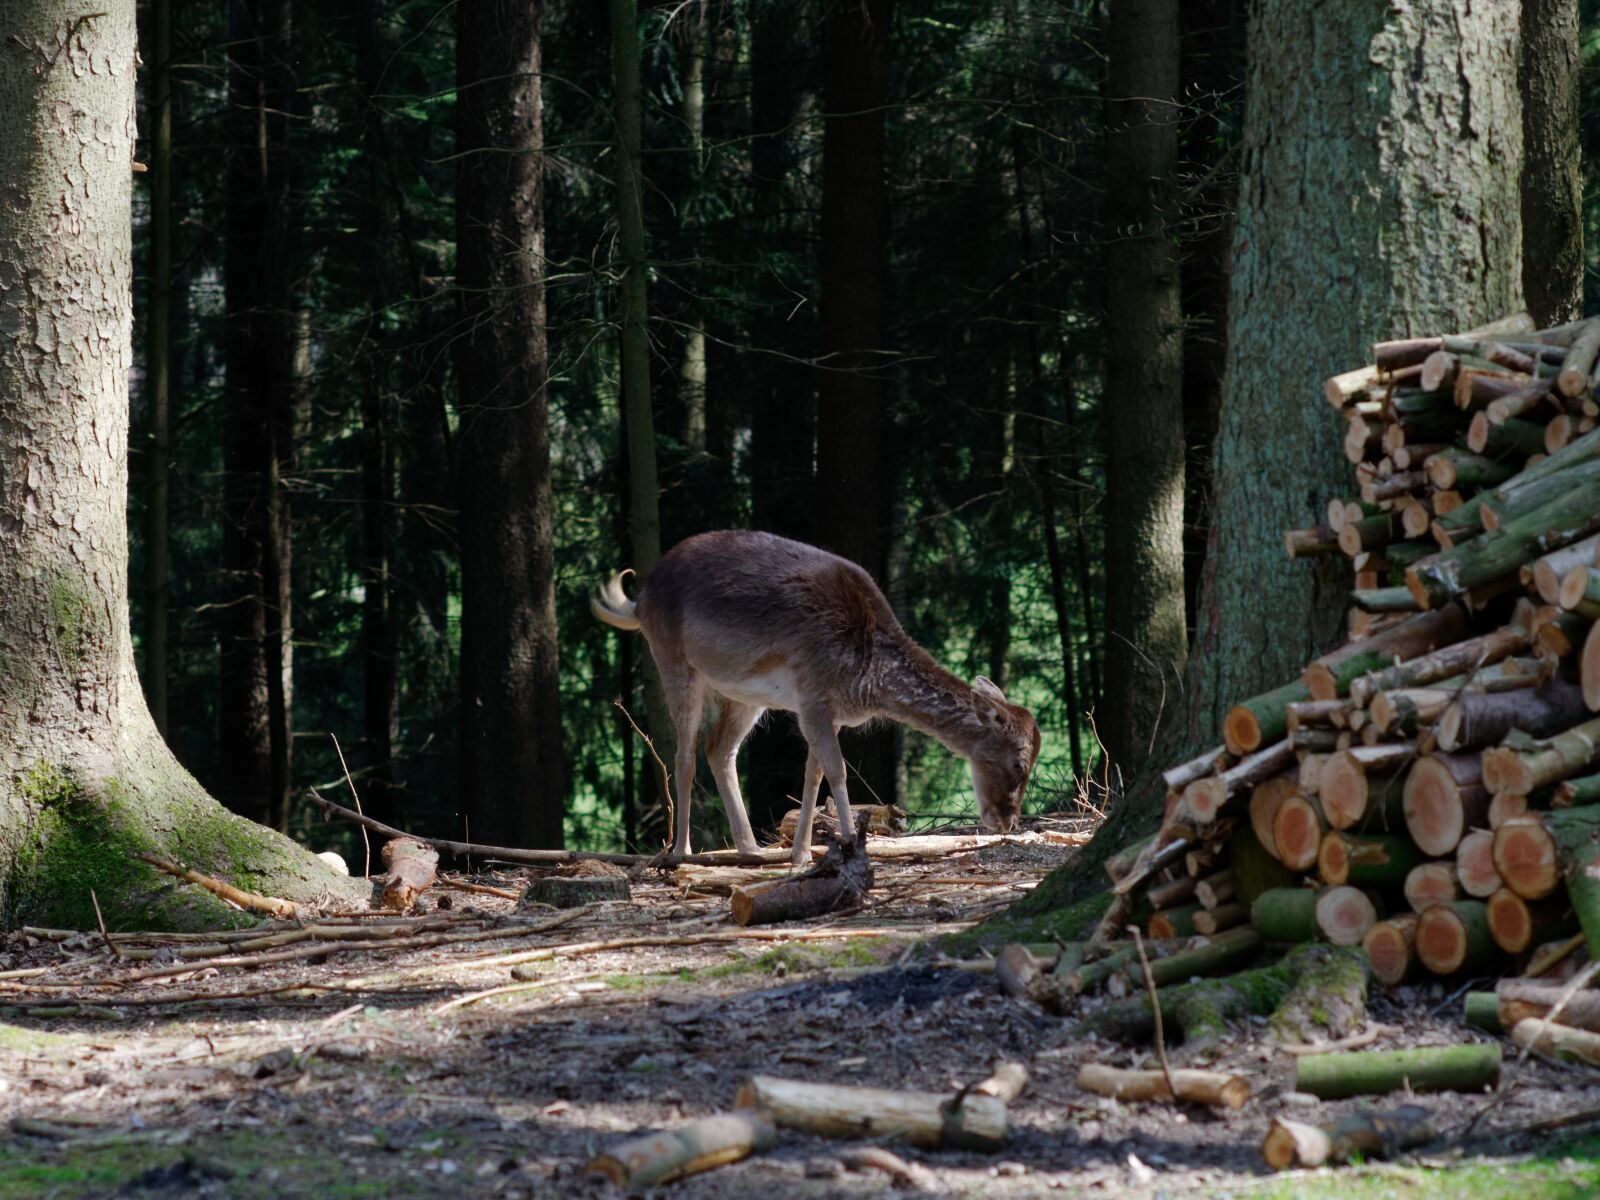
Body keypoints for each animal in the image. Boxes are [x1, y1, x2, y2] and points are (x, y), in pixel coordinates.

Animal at [592, 530, 1041, 866]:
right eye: (1018, 764)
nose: (1007, 821)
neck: (868, 677)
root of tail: (639, 598)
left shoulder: (827, 711)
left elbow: (814, 775)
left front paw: (802, 853)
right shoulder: (812, 695)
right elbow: (838, 771)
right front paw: (850, 844)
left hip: (744, 693)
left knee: (718, 747)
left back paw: (749, 847)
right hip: (672, 658)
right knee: (683, 753)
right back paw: (682, 852)